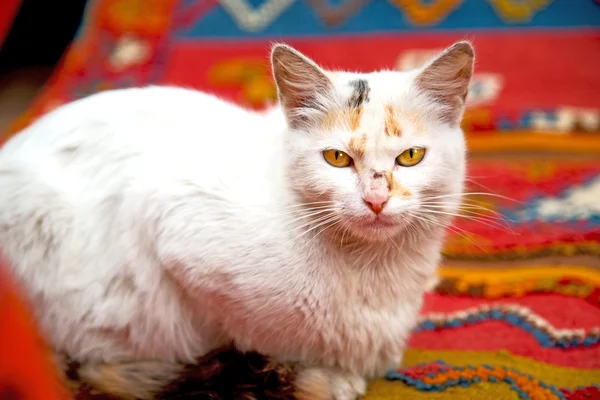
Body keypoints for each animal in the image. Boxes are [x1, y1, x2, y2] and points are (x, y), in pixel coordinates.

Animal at [0, 41, 474, 400]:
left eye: (410, 156)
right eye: (337, 158)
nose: (376, 198)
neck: (373, 271)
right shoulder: (170, 224)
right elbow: (257, 334)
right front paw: (323, 375)